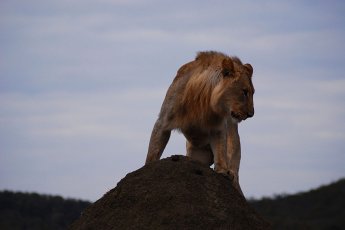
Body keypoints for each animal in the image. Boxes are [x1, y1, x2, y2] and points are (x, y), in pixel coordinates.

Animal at [144, 51, 254, 195]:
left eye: (252, 93)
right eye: (244, 92)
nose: (251, 114)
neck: (204, 98)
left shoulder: (219, 127)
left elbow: (220, 150)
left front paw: (222, 171)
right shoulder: (163, 121)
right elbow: (153, 150)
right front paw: (147, 168)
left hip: (233, 142)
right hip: (196, 154)